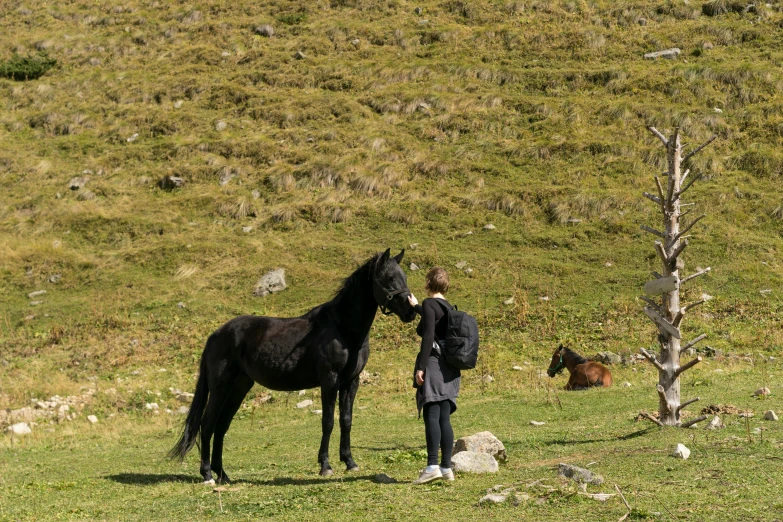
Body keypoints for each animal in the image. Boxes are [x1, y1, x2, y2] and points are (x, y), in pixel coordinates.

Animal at [169, 248, 416, 480]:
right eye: (389, 278)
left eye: (404, 277)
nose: (411, 311)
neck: (343, 329)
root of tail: (215, 335)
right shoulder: (330, 380)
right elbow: (328, 421)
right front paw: (325, 466)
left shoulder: (351, 382)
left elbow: (346, 420)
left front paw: (349, 462)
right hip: (220, 388)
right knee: (207, 424)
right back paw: (207, 474)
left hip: (239, 387)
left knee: (221, 426)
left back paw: (222, 475)